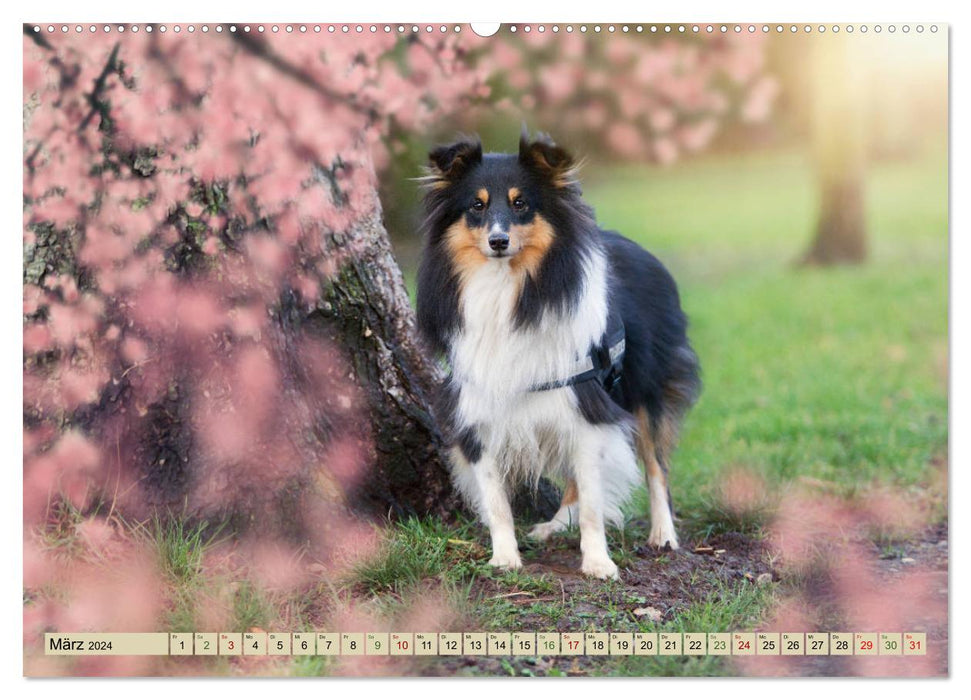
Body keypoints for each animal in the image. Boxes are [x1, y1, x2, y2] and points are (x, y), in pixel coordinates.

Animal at [416, 131, 700, 580]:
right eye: (476, 206)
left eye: (521, 204)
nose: (498, 242)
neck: (507, 289)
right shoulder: (479, 411)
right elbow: (497, 501)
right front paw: (504, 558)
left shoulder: (588, 403)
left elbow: (596, 504)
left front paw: (599, 563)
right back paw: (556, 523)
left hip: (644, 389)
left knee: (657, 466)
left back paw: (663, 535)